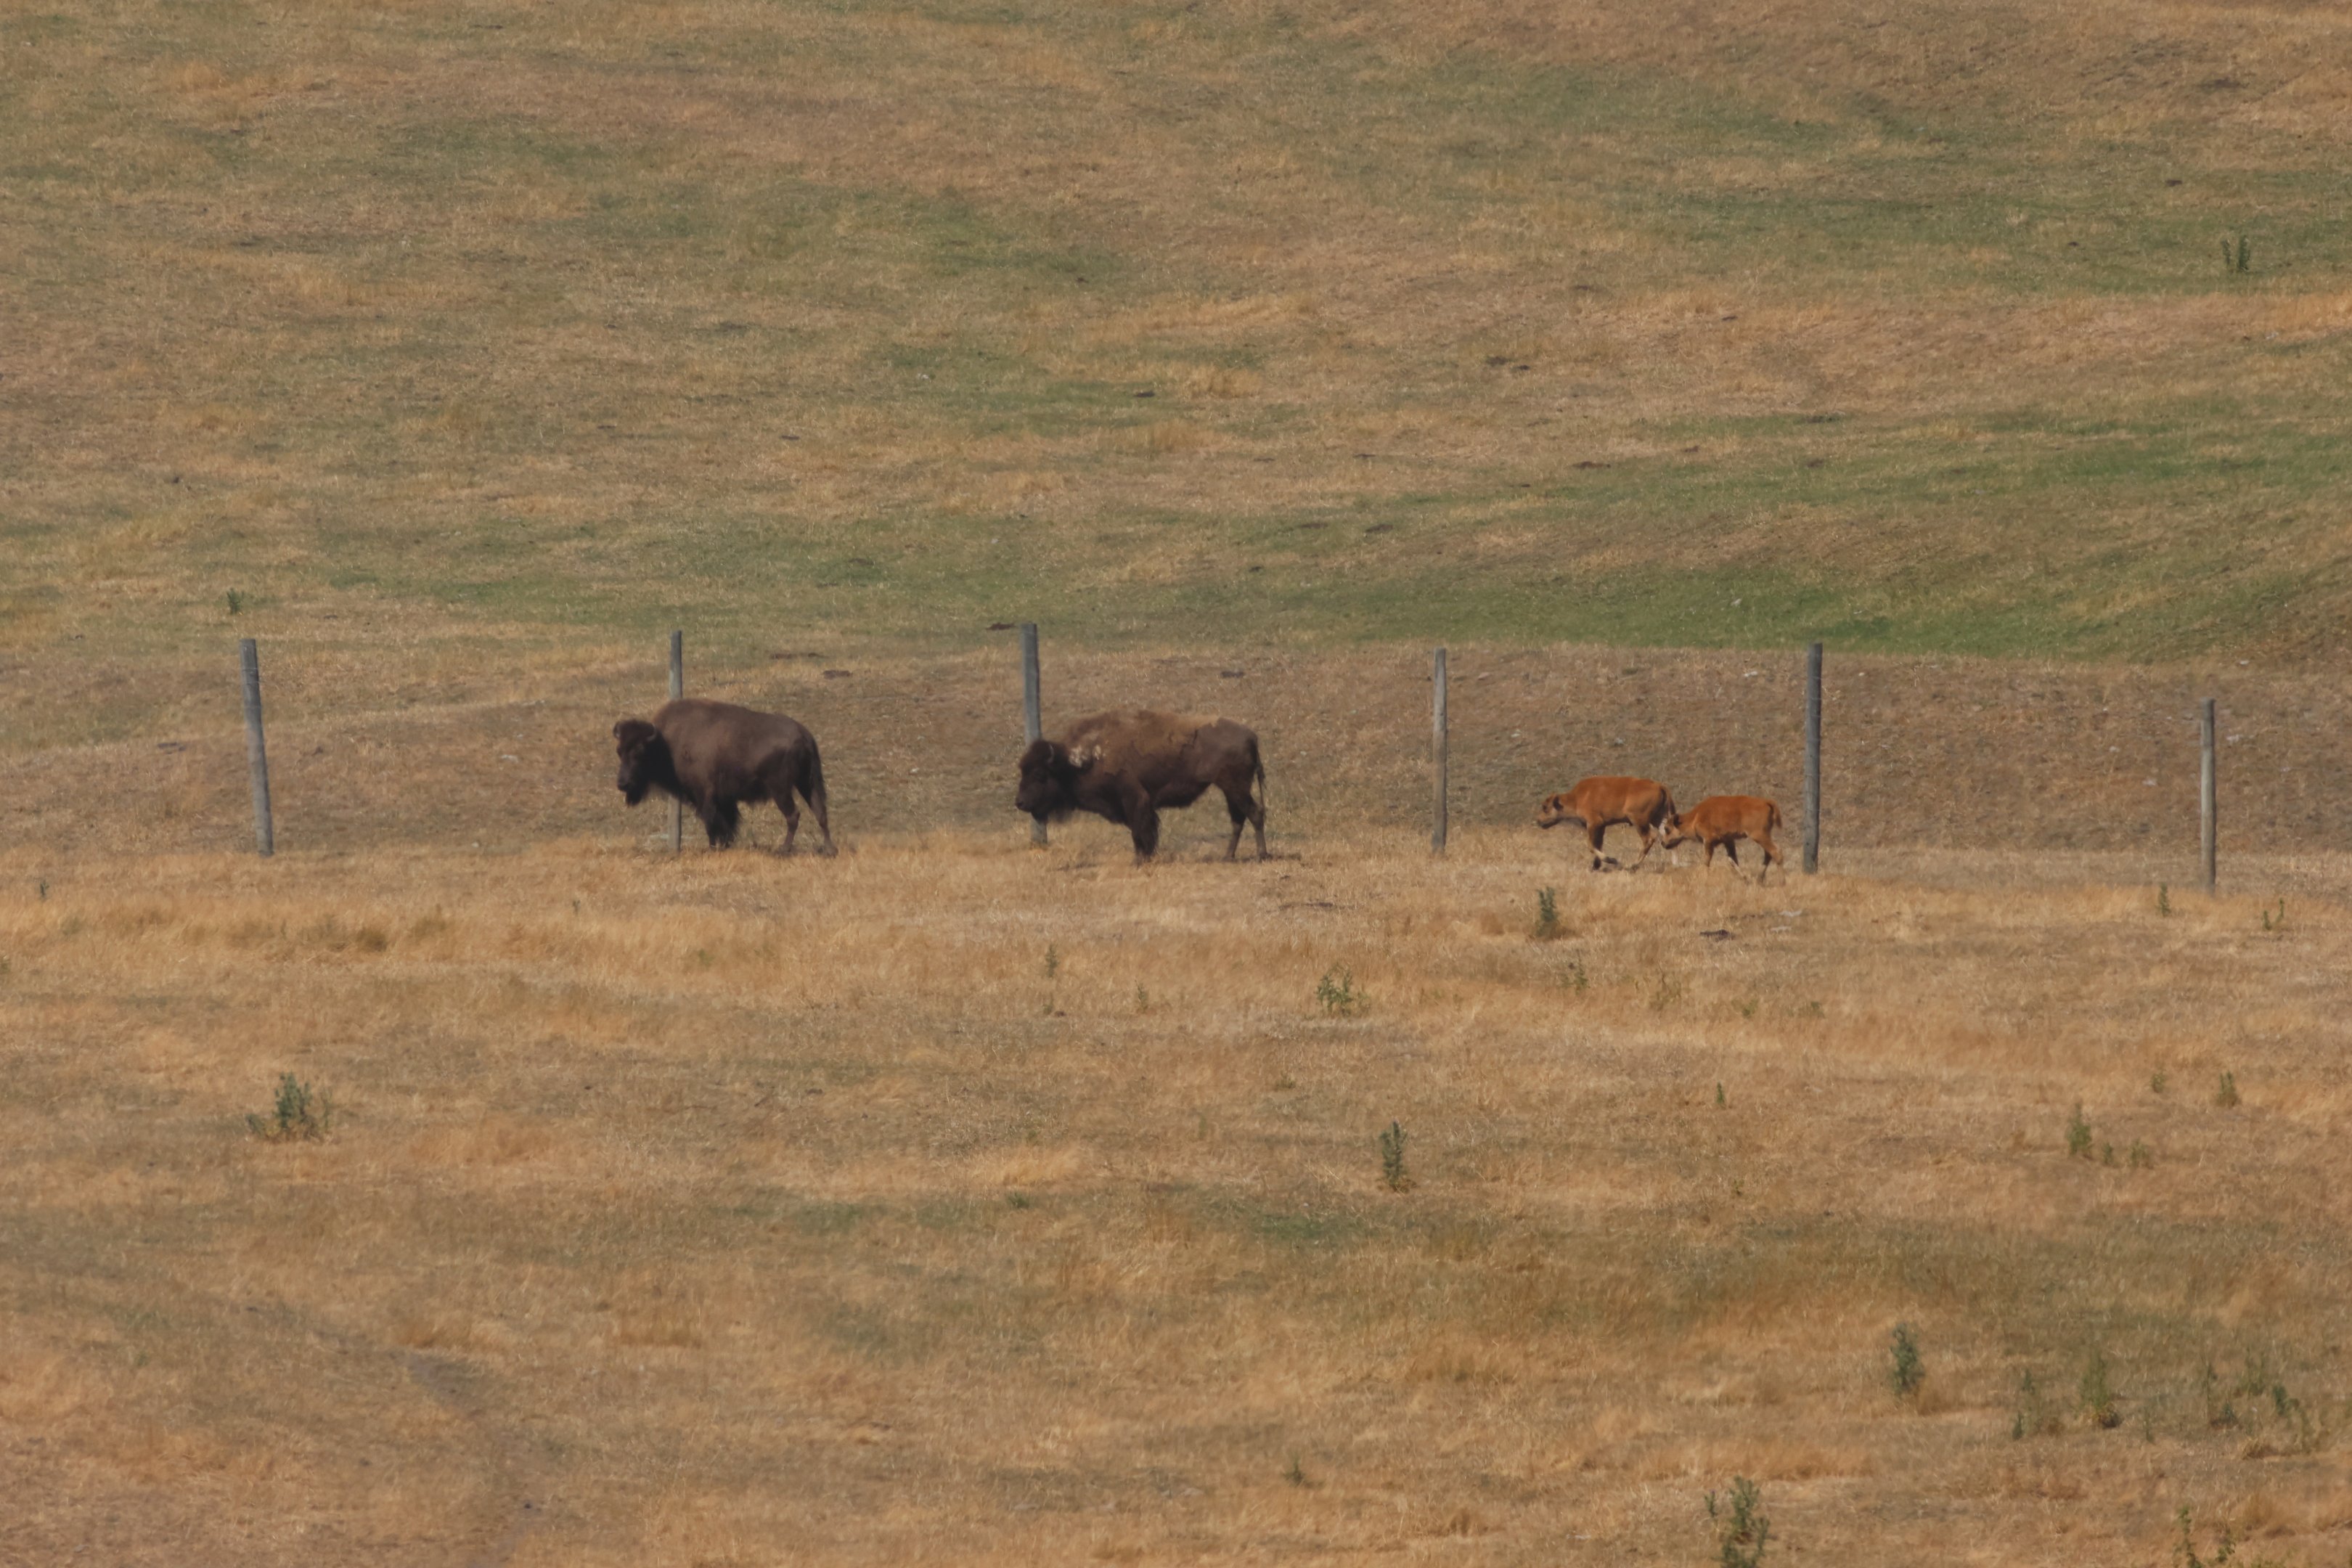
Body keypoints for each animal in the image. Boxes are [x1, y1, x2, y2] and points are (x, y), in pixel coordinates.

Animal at [612, 698, 834, 855]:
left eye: (639, 752)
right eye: (619, 751)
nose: (623, 783)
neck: (664, 743)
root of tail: (803, 735)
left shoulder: (705, 795)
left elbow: (711, 821)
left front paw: (713, 848)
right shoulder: (725, 798)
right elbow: (727, 822)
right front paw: (725, 845)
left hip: (781, 789)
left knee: (793, 815)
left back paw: (784, 849)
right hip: (807, 782)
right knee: (820, 811)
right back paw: (829, 850)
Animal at [1015, 709, 1267, 861]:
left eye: (1039, 774)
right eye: (1022, 771)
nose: (1020, 802)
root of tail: (1252, 736)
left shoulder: (1134, 799)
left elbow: (1139, 831)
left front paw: (1139, 860)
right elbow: (1142, 831)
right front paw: (1145, 857)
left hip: (1236, 787)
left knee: (1254, 813)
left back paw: (1262, 855)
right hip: (1230, 790)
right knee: (1238, 819)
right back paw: (1228, 857)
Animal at [1535, 776, 1678, 871]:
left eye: (1545, 808)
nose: (1538, 821)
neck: (1577, 798)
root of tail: (1659, 786)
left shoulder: (1593, 823)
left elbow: (1591, 845)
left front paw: (1611, 860)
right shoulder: (1601, 826)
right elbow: (1598, 844)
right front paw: (1595, 866)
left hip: (1638, 820)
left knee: (1649, 838)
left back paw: (1632, 865)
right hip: (1659, 818)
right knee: (1668, 836)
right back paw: (1676, 863)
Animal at [1662, 795, 1783, 880]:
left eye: (1667, 829)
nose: (1663, 843)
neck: (1696, 817)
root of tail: (1766, 802)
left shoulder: (1708, 841)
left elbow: (1707, 860)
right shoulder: (1728, 841)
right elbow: (1732, 859)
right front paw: (1744, 878)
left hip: (1759, 835)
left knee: (1776, 852)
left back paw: (1782, 882)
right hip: (1763, 836)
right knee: (1768, 854)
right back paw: (1759, 879)